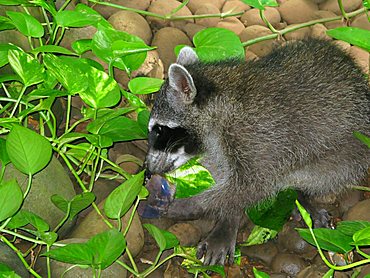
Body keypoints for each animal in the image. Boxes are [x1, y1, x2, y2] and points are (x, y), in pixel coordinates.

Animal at [145, 39, 370, 264]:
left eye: (159, 130)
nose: (147, 170)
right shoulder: (221, 144)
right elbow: (225, 175)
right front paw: (227, 214)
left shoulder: (257, 137)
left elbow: (250, 187)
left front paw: (192, 205)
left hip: (349, 155)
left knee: (326, 176)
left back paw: (301, 194)